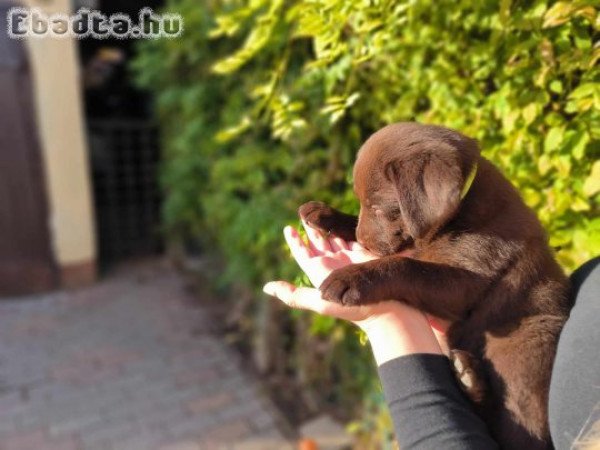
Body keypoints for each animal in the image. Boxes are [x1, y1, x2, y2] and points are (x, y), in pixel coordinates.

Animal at [300, 123, 572, 450]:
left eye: (378, 208)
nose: (364, 242)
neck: (459, 212)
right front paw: (325, 215)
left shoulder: (467, 278)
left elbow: (405, 267)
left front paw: (351, 277)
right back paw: (468, 376)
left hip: (525, 346)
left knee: (517, 426)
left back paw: (469, 377)